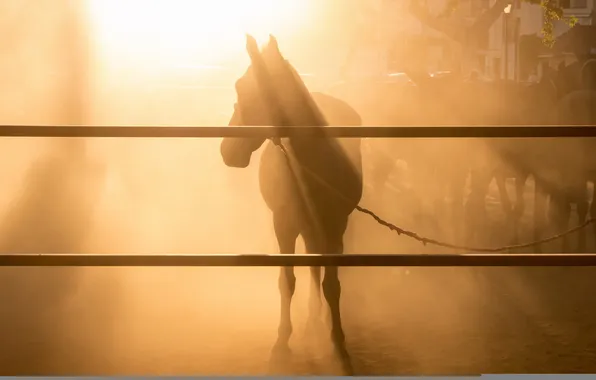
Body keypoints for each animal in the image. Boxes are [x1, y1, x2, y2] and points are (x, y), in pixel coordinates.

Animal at [218, 35, 358, 374]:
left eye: (243, 86)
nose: (227, 150)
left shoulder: (336, 228)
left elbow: (332, 285)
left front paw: (339, 341)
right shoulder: (284, 225)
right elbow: (287, 281)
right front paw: (282, 340)